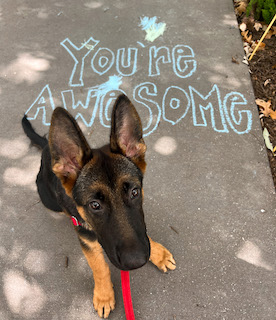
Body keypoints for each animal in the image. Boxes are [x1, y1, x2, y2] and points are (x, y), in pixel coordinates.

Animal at [22, 94, 176, 318]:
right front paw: (104, 295)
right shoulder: (86, 238)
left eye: (135, 192)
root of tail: (46, 148)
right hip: (48, 200)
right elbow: (99, 267)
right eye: (94, 205)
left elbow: (144, 232)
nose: (136, 262)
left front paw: (157, 253)